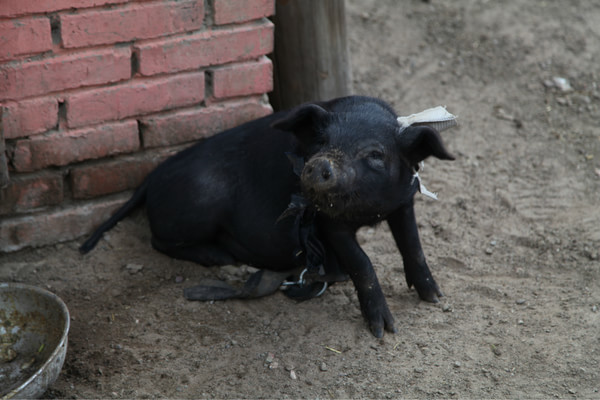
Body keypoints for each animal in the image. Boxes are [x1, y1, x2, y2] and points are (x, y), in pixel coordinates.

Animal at [81, 97, 454, 338]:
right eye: (321, 141)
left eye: (376, 154)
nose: (319, 164)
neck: (367, 209)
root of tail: (150, 179)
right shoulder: (327, 222)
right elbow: (362, 263)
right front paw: (383, 330)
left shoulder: (404, 200)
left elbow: (413, 245)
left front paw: (434, 298)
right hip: (200, 198)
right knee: (158, 239)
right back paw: (220, 258)